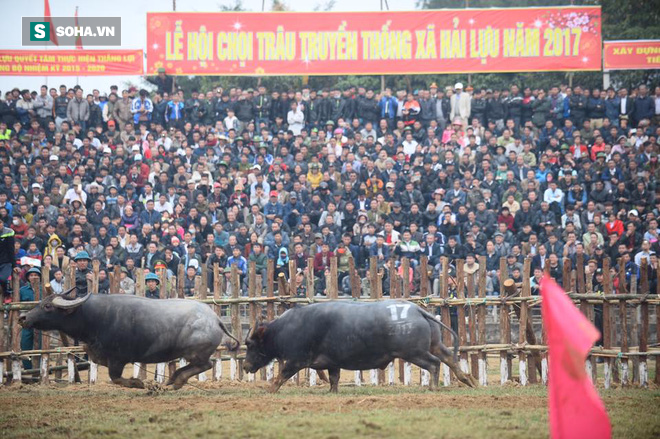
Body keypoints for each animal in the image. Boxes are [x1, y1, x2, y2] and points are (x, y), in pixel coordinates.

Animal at [18, 292, 242, 388]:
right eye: (41, 302)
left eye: (48, 306)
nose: (23, 318)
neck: (93, 317)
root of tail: (215, 319)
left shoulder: (117, 359)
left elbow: (116, 378)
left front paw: (138, 382)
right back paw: (172, 379)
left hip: (194, 352)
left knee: (205, 365)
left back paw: (176, 380)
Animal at [242, 300, 474, 394]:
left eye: (250, 344)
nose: (245, 366)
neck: (287, 328)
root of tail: (418, 310)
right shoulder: (332, 363)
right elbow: (333, 378)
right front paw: (332, 391)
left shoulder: (295, 360)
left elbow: (281, 375)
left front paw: (270, 389)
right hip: (434, 345)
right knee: (449, 357)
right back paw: (468, 379)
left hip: (414, 353)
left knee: (434, 364)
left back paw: (434, 386)